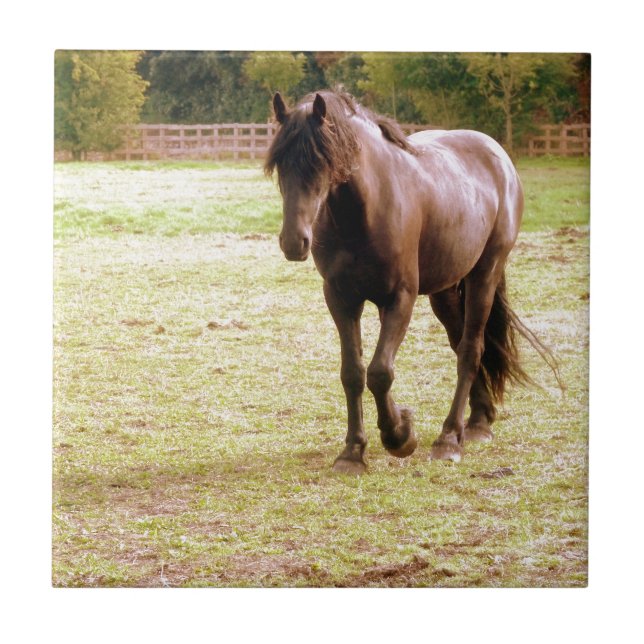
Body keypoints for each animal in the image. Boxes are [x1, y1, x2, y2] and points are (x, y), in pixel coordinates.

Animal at [265, 89, 556, 474]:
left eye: (320, 162)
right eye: (280, 164)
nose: (293, 241)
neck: (365, 211)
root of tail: (498, 155)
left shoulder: (399, 298)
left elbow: (380, 372)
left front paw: (400, 435)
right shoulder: (341, 299)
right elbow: (354, 373)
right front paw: (354, 451)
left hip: (485, 274)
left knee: (470, 349)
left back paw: (449, 438)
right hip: (445, 292)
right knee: (460, 343)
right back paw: (478, 420)